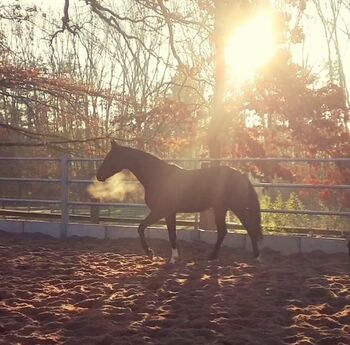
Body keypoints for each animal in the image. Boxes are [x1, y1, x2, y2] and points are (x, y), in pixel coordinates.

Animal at [95, 141, 262, 262]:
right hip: (220, 208)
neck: (158, 176)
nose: (98, 175)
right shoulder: (169, 213)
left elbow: (143, 228)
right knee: (223, 231)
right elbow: (171, 233)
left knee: (249, 227)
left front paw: (152, 254)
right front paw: (171, 257)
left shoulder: (161, 211)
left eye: (110, 157)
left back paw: (256, 257)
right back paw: (212, 257)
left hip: (236, 207)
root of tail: (241, 175)